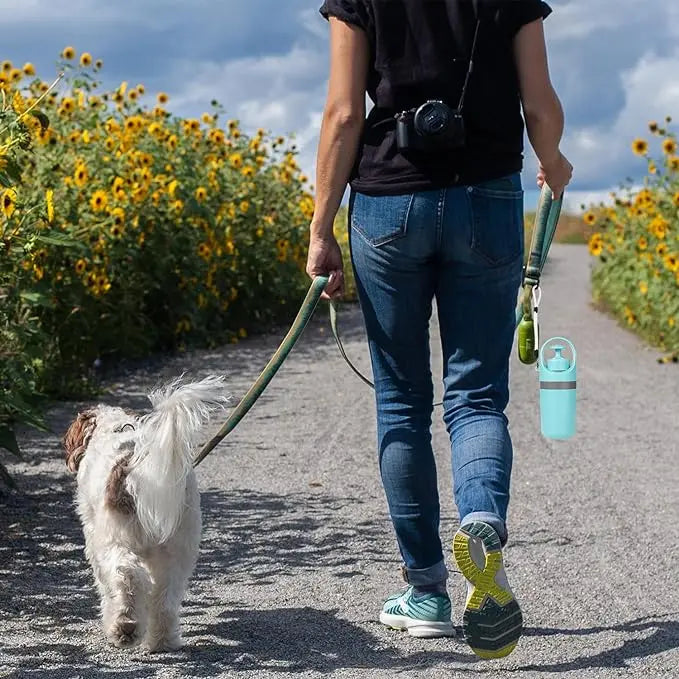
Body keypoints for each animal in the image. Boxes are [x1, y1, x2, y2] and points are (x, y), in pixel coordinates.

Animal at [62, 378, 230, 652]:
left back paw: (125, 627)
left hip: (117, 541)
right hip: (178, 548)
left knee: (127, 576)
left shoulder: (94, 539)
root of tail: (136, 467)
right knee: (165, 598)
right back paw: (162, 641)